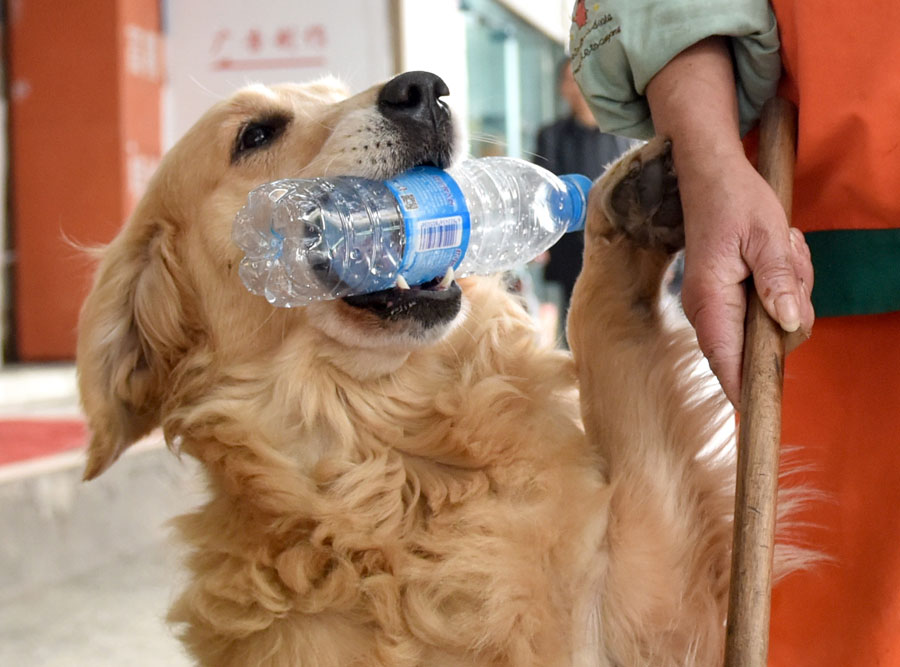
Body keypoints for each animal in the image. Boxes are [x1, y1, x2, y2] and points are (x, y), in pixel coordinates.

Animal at [79, 70, 800, 664]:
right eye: (255, 133)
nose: (423, 89)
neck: (397, 471)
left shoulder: (649, 609)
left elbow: (609, 343)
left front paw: (626, 209)